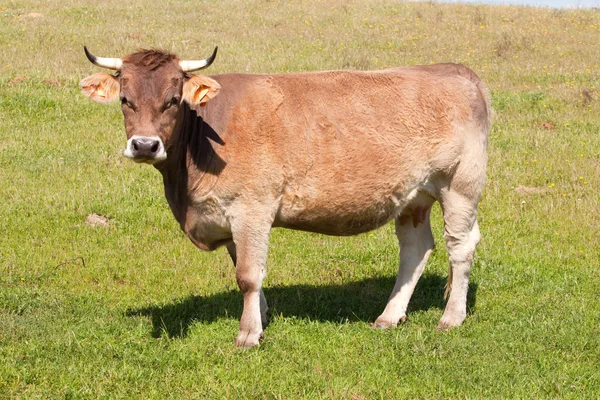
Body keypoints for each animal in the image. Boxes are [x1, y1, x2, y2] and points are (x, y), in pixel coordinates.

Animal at [81, 46, 492, 346]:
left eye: (173, 99)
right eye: (124, 99)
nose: (145, 145)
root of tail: (455, 70)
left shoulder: (251, 209)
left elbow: (248, 274)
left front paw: (248, 334)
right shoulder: (231, 218)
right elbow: (246, 269)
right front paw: (261, 317)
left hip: (459, 185)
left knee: (460, 246)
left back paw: (451, 317)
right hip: (413, 196)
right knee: (416, 249)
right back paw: (389, 316)